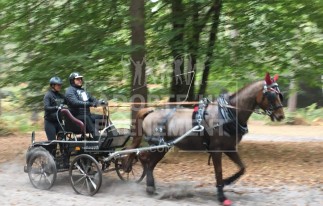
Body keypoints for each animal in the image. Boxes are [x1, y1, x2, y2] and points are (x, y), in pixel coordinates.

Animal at [125, 71, 284, 204]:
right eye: (271, 95)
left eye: (279, 94)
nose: (281, 116)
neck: (227, 114)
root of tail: (150, 112)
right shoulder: (216, 150)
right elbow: (219, 171)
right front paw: (221, 195)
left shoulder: (230, 148)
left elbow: (242, 168)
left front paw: (227, 181)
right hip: (158, 146)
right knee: (144, 158)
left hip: (163, 147)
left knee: (149, 163)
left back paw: (150, 187)